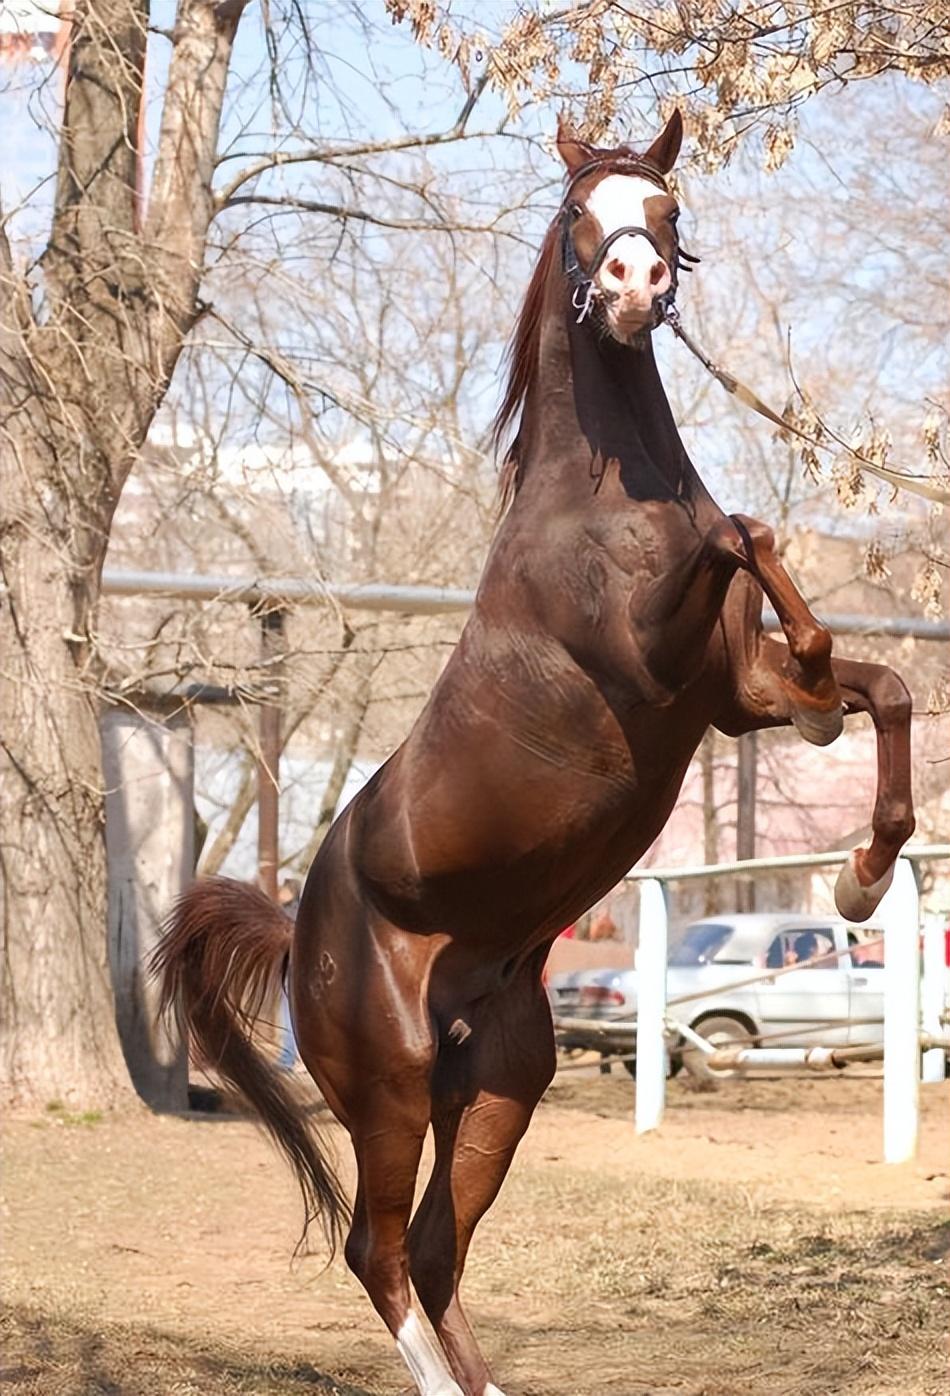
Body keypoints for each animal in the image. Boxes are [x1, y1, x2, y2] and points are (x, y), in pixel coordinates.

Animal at [153, 111, 909, 1396]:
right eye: (574, 214)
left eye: (663, 207)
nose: (634, 287)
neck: (600, 504)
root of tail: (299, 926)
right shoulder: (651, 662)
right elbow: (744, 531)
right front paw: (831, 762)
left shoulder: (726, 697)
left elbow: (874, 679)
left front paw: (857, 870)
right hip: (392, 1085)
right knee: (376, 1251)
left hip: (503, 1079)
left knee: (433, 1247)